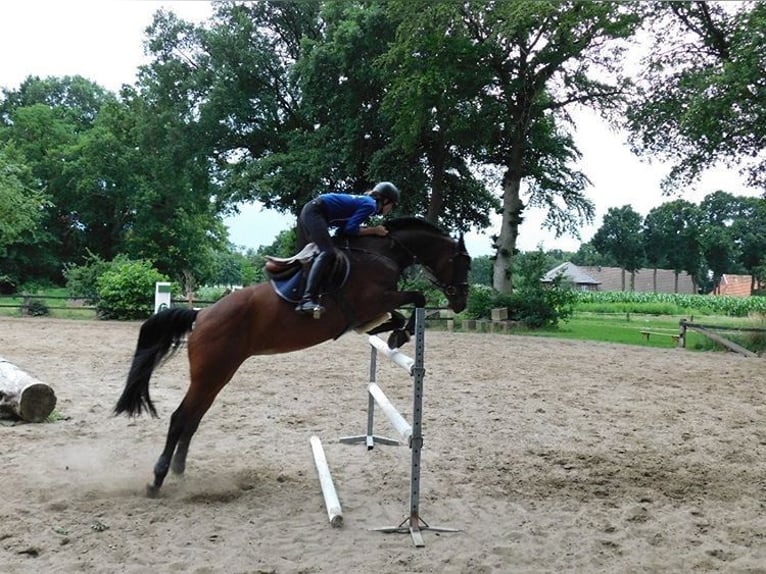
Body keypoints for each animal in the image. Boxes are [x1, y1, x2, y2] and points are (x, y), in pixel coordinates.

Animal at [114, 218, 474, 498]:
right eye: (464, 262)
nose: (461, 303)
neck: (381, 254)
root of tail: (200, 315)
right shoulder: (374, 301)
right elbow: (418, 296)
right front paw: (402, 332)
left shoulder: (370, 311)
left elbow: (398, 313)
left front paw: (398, 333)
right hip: (210, 374)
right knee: (180, 418)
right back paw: (157, 479)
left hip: (217, 376)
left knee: (192, 419)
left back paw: (179, 472)